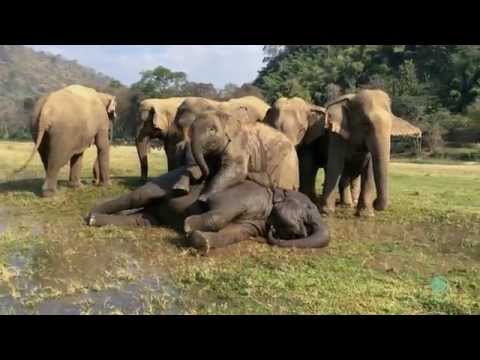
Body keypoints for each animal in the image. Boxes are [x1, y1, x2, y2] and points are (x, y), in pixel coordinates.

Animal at [86, 167, 328, 255]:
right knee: (137, 197)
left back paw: (97, 219)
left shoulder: (255, 223)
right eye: (309, 209)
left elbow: (233, 233)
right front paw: (188, 226)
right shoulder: (242, 195)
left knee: (142, 220)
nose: (274, 233)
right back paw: (90, 216)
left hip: (150, 213)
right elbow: (221, 212)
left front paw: (201, 241)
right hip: (166, 180)